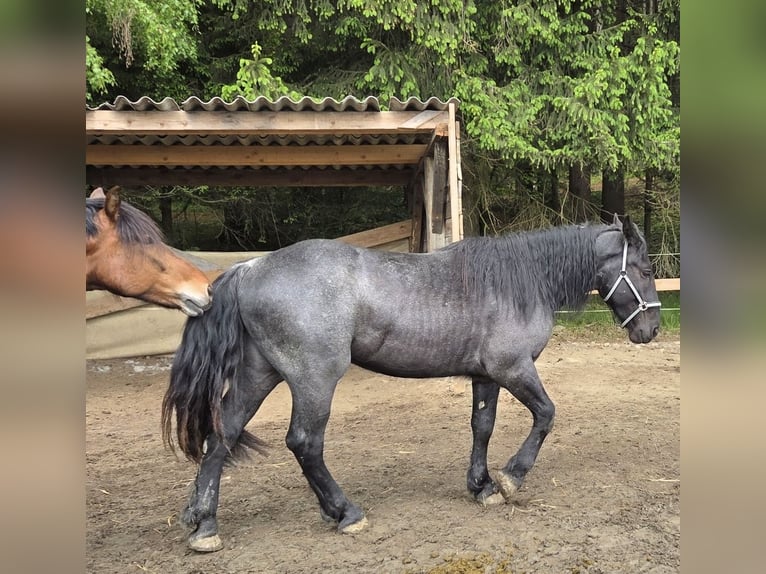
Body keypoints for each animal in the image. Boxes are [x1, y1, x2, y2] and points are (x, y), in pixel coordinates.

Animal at [162, 214, 661, 552]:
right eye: (646, 269)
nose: (651, 329)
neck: (518, 281)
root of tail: (250, 268)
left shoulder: (486, 376)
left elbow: (482, 428)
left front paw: (481, 486)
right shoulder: (513, 369)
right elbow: (546, 415)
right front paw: (511, 478)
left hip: (258, 374)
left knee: (221, 436)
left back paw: (204, 524)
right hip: (314, 378)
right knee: (304, 442)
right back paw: (345, 512)